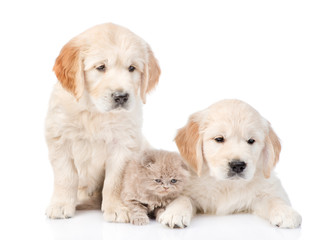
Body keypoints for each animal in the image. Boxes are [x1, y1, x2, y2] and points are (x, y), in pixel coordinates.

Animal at [45, 23, 160, 222]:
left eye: (132, 68)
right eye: (101, 67)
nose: (121, 96)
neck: (94, 111)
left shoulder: (124, 145)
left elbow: (115, 181)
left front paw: (117, 208)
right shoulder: (59, 139)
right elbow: (66, 176)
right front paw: (60, 205)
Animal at [159, 99, 302, 229]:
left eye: (251, 140)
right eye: (219, 139)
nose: (238, 165)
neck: (226, 185)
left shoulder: (267, 188)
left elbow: (273, 198)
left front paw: (285, 212)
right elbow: (183, 198)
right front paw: (175, 212)